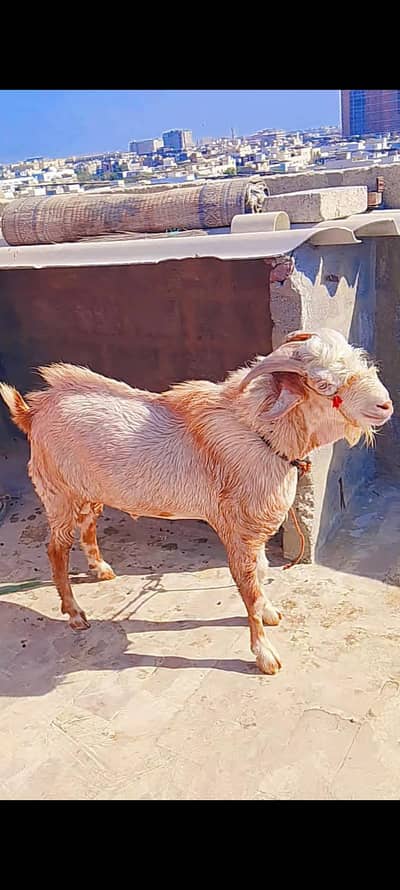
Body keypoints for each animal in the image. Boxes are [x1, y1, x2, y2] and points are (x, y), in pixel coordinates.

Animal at [0, 328, 393, 674]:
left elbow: (263, 573)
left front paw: (269, 613)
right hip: (58, 493)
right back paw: (75, 613)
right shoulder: (238, 530)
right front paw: (265, 656)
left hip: (89, 492)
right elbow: (249, 588)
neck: (261, 434)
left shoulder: (251, 533)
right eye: (324, 384)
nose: (385, 404)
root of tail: (33, 412)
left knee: (88, 526)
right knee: (56, 550)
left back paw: (101, 569)